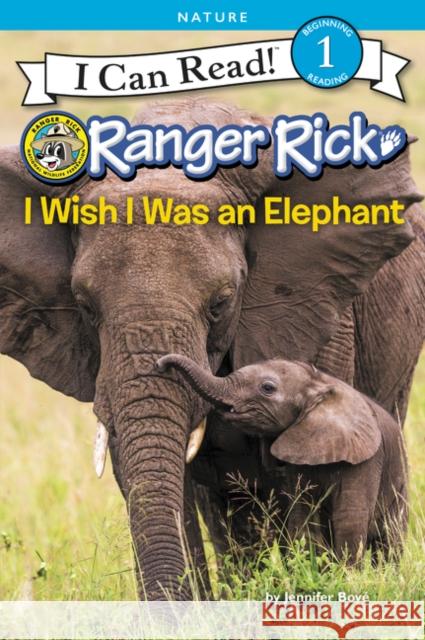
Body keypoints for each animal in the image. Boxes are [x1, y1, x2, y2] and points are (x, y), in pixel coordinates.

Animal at [157, 354, 408, 563]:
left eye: (267, 388)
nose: (160, 364)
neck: (319, 385)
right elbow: (302, 515)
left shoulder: (365, 460)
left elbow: (349, 520)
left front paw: (346, 577)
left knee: (390, 542)